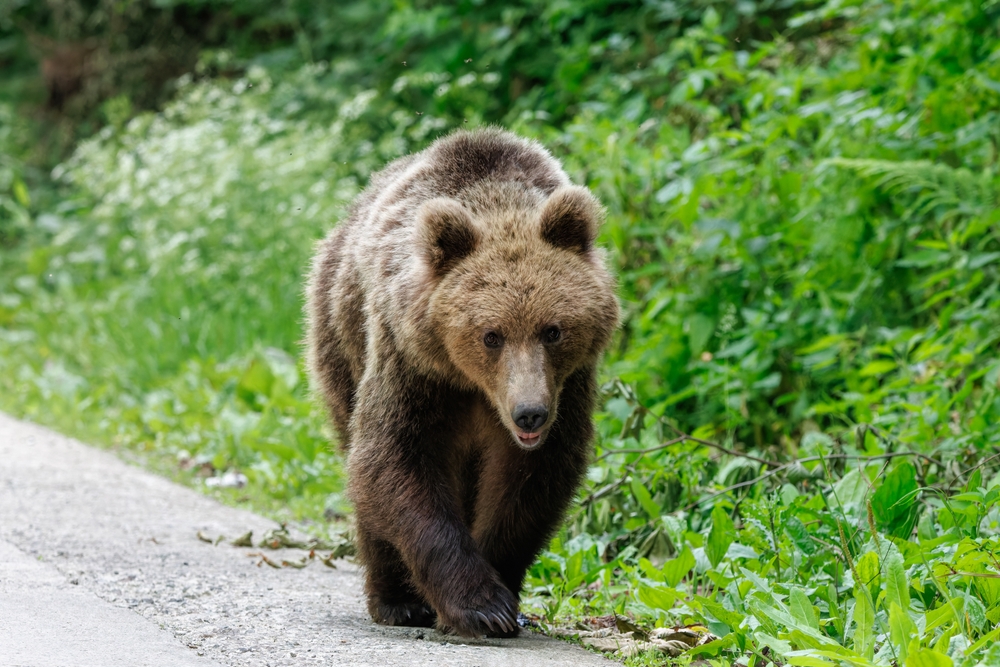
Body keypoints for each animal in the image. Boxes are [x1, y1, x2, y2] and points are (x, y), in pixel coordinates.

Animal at [304, 128, 616, 640]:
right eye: (491, 335)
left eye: (552, 330)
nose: (530, 413)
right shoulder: (413, 367)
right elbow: (393, 458)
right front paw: (480, 606)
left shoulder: (567, 388)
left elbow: (531, 481)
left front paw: (502, 594)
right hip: (339, 337)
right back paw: (396, 600)